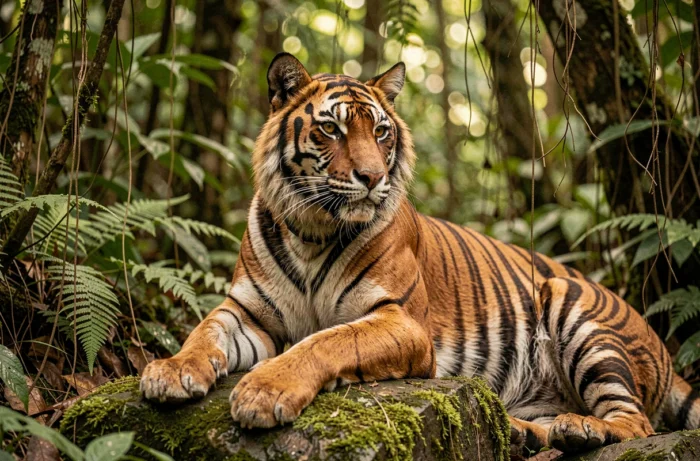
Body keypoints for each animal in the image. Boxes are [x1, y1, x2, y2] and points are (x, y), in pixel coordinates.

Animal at [140, 52, 700, 455]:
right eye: (331, 129)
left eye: (380, 131)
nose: (372, 178)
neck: (313, 231)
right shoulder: (249, 311)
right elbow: (204, 331)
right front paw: (170, 371)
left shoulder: (402, 320)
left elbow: (327, 341)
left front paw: (264, 391)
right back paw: (529, 434)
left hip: (573, 305)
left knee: (637, 421)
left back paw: (586, 429)